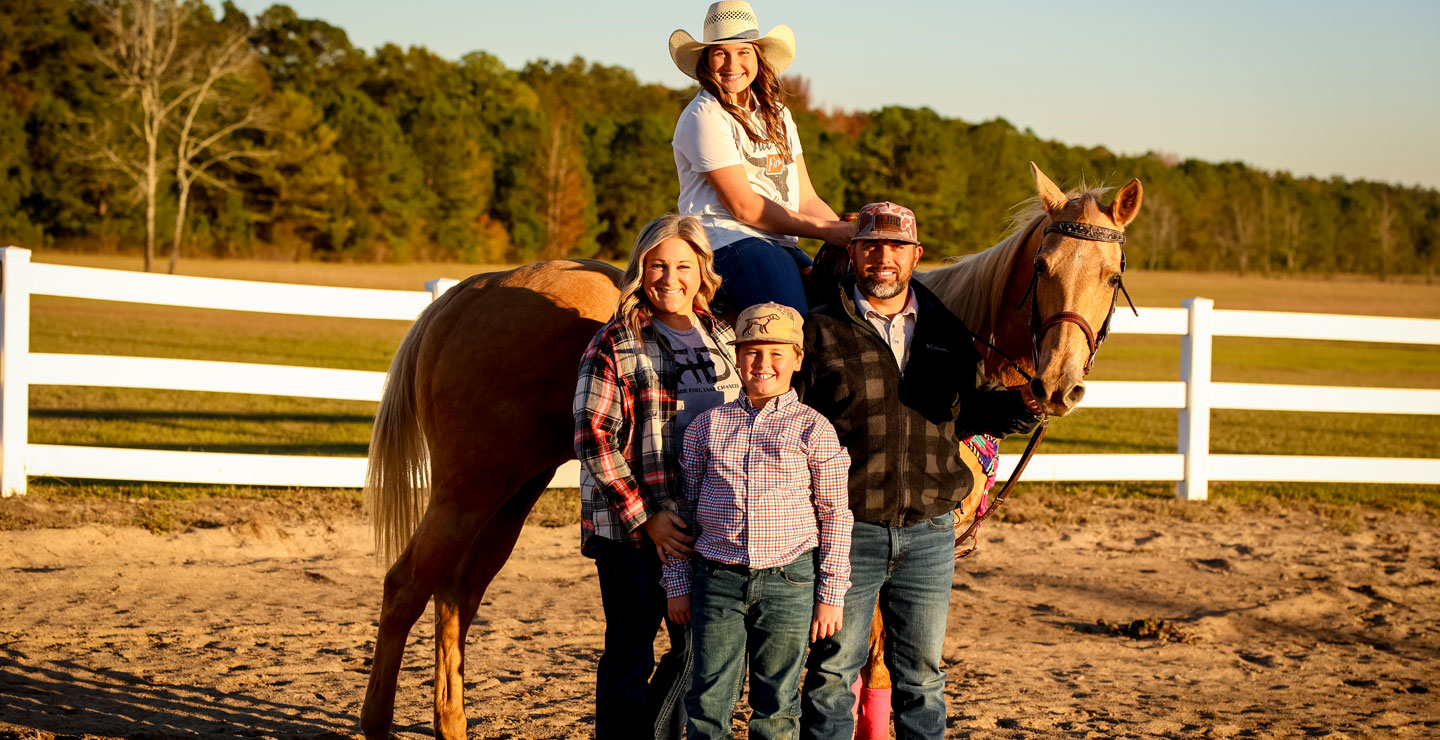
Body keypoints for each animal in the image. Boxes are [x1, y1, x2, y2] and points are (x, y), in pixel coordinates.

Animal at [362, 162, 1146, 737]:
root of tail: (470, 291)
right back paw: (376, 723)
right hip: (467, 487)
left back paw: (452, 724)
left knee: (456, 597)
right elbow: (868, 666)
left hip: (509, 491)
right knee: (406, 586)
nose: (1058, 383)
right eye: (1043, 266)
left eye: (1111, 276)